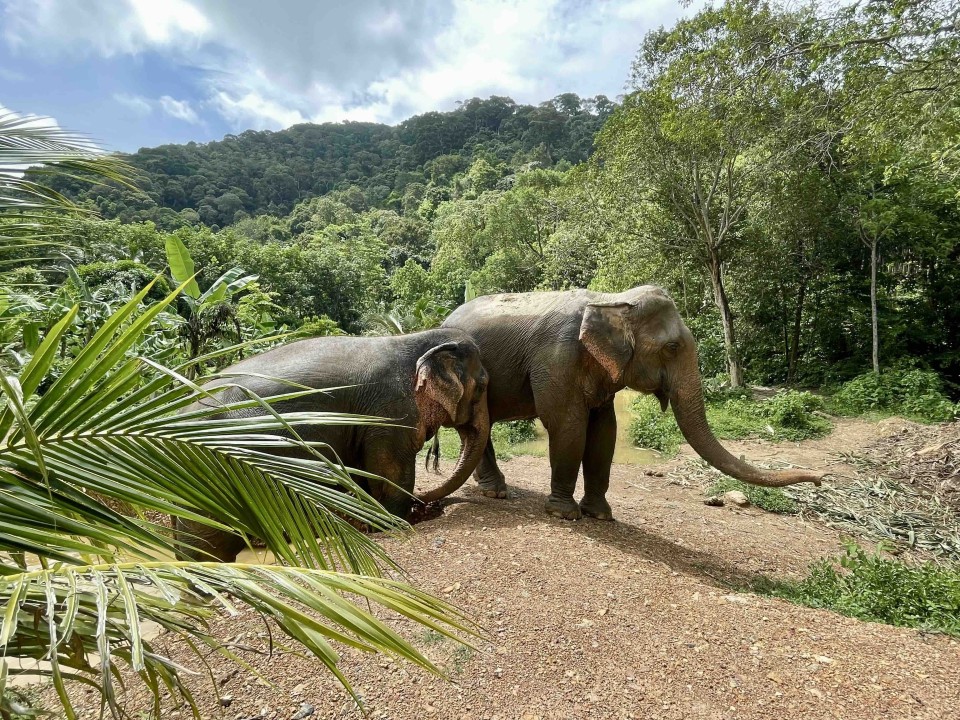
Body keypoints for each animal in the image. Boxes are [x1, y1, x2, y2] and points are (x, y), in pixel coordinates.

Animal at [173, 328, 490, 561]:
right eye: (484, 385)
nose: (427, 503)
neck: (414, 340)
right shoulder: (390, 414)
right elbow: (390, 477)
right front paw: (396, 522)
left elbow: (365, 476)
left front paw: (369, 522)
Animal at [442, 285, 823, 521]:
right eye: (672, 347)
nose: (820, 479)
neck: (611, 300)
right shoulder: (556, 358)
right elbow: (568, 426)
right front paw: (565, 515)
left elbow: (604, 433)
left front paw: (600, 515)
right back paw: (496, 494)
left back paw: (494, 490)